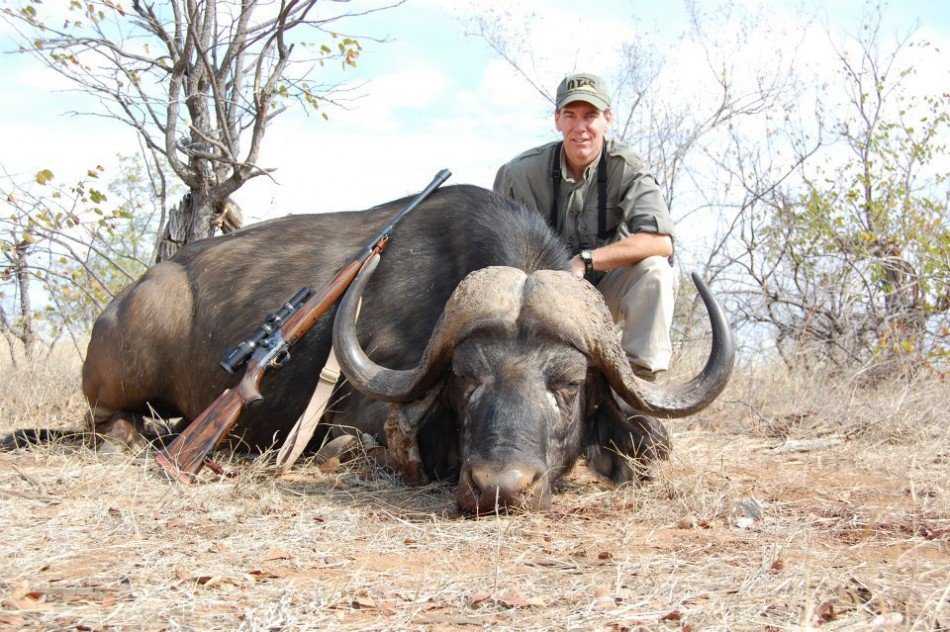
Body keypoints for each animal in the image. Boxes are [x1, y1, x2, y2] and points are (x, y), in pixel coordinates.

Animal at [79, 185, 734, 513]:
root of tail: (130, 296)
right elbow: (357, 442)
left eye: (568, 386)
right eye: (466, 379)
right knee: (107, 419)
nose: (499, 487)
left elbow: (650, 446)